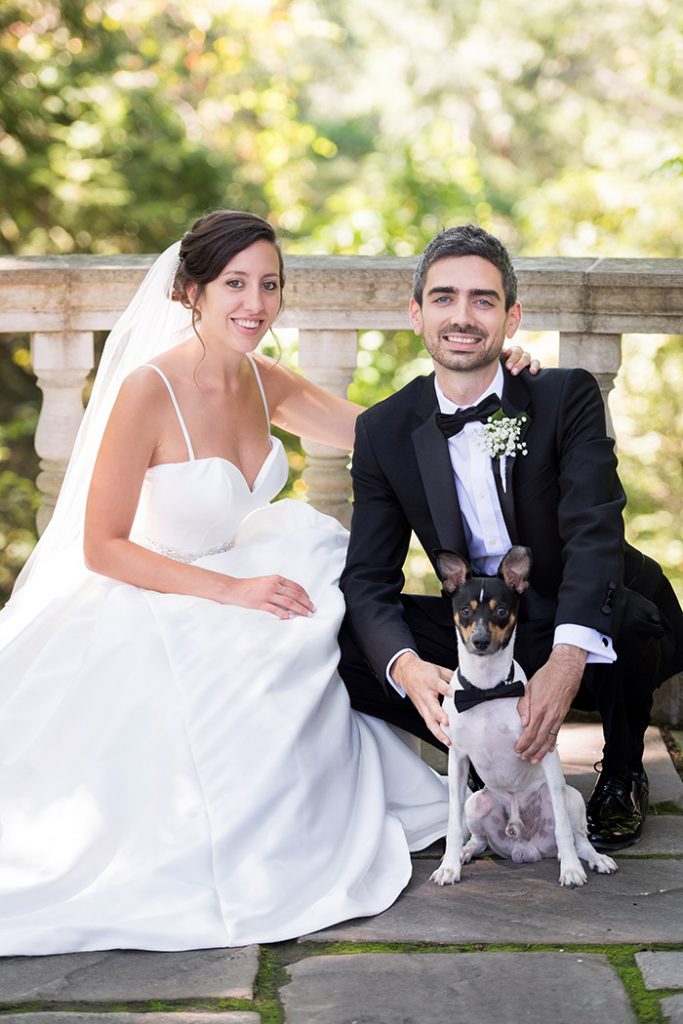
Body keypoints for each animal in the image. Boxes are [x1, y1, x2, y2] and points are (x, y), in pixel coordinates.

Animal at [432, 544, 618, 888]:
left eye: (501, 611)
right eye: (466, 611)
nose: (480, 641)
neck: (486, 689)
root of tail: (525, 847)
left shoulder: (544, 748)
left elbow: (563, 829)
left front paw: (571, 869)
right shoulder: (458, 758)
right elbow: (452, 824)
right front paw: (449, 865)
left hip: (570, 797)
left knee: (578, 836)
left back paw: (593, 858)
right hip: (476, 803)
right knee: (478, 839)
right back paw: (465, 853)